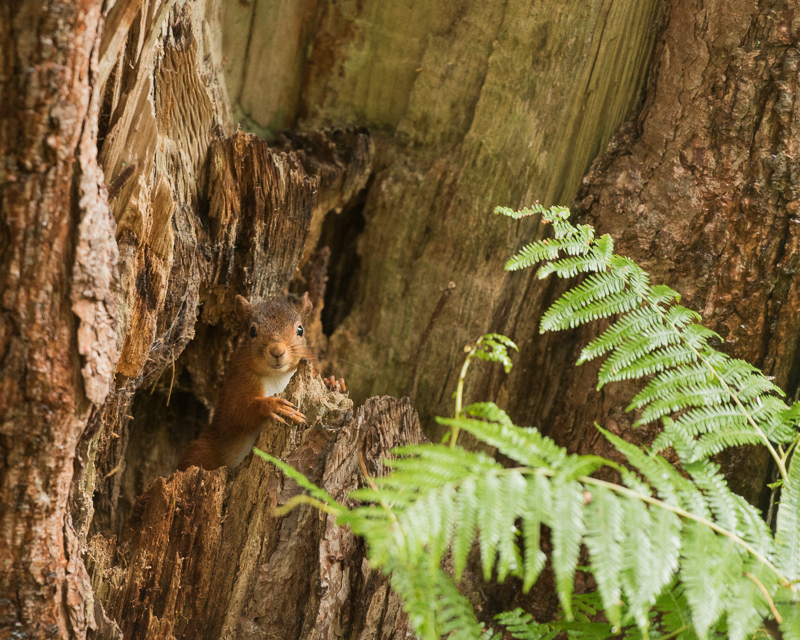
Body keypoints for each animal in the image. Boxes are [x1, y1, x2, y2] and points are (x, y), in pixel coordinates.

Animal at [178, 292, 340, 471]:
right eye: (252, 331)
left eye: (300, 330)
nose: (277, 351)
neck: (277, 376)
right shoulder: (237, 382)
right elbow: (235, 413)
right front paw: (274, 406)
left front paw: (333, 382)